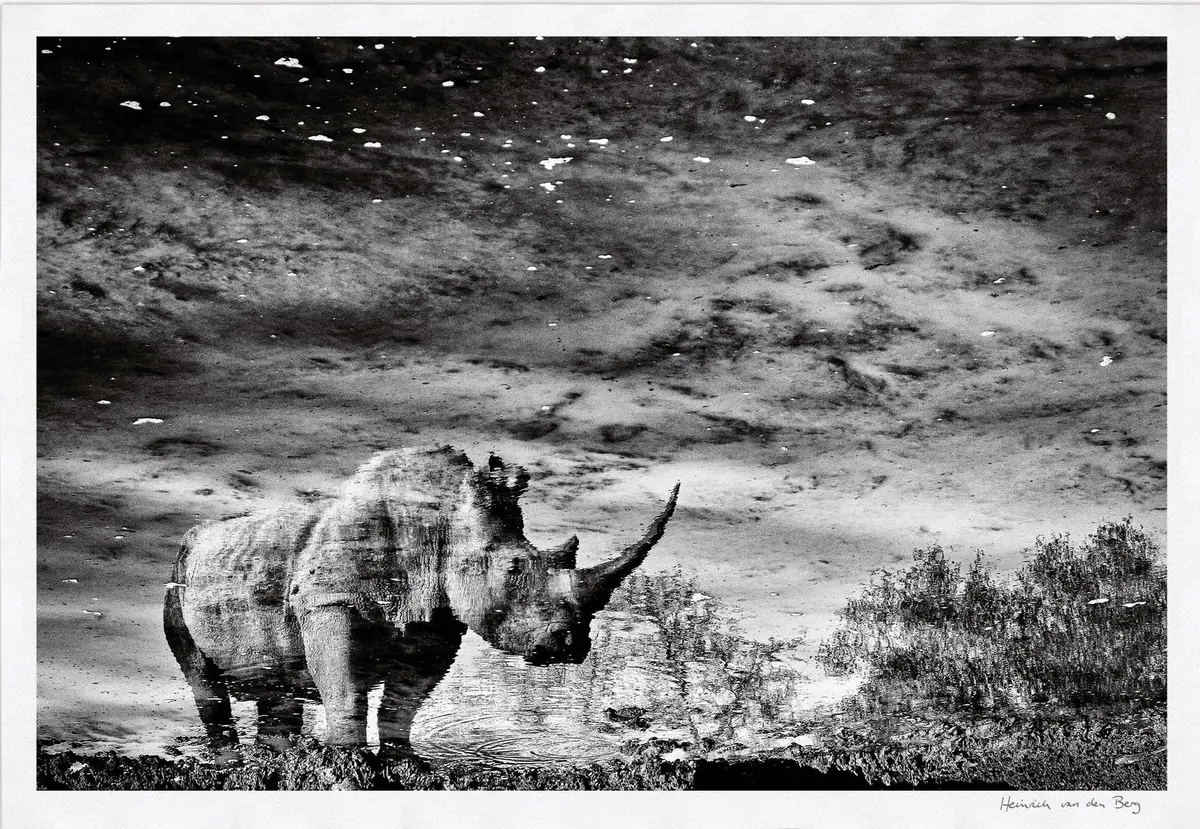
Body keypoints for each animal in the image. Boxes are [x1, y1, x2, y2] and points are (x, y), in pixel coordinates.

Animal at [164, 445, 678, 754]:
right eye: (513, 571)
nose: (573, 647)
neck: (443, 524)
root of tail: (193, 539)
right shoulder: (329, 602)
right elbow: (345, 691)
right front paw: (348, 761)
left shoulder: (437, 619)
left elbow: (404, 703)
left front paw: (403, 762)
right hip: (178, 577)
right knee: (202, 679)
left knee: (278, 689)